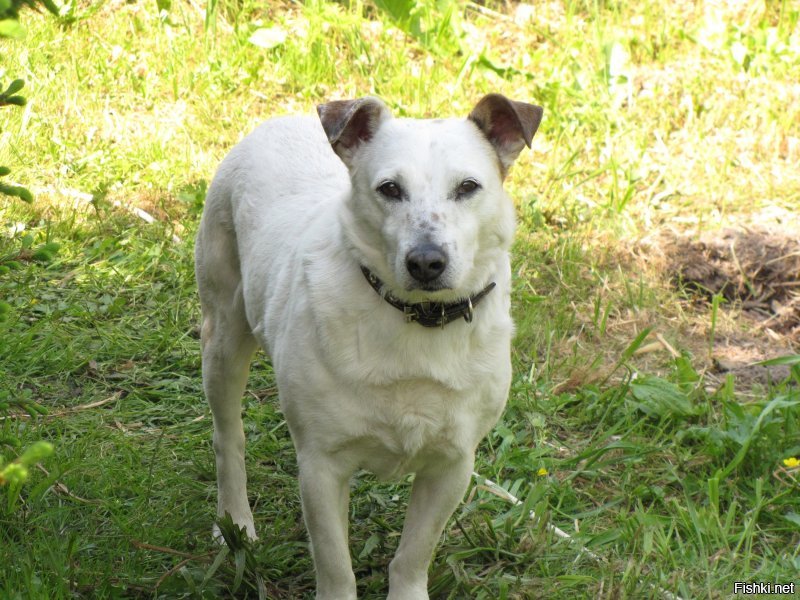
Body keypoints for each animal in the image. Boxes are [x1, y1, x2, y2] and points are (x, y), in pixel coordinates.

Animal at [195, 95, 544, 600]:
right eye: (390, 189)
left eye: (468, 187)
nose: (426, 261)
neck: (418, 321)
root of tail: (283, 118)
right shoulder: (321, 468)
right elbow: (336, 564)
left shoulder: (452, 466)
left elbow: (414, 553)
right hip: (223, 333)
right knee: (229, 437)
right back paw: (234, 523)